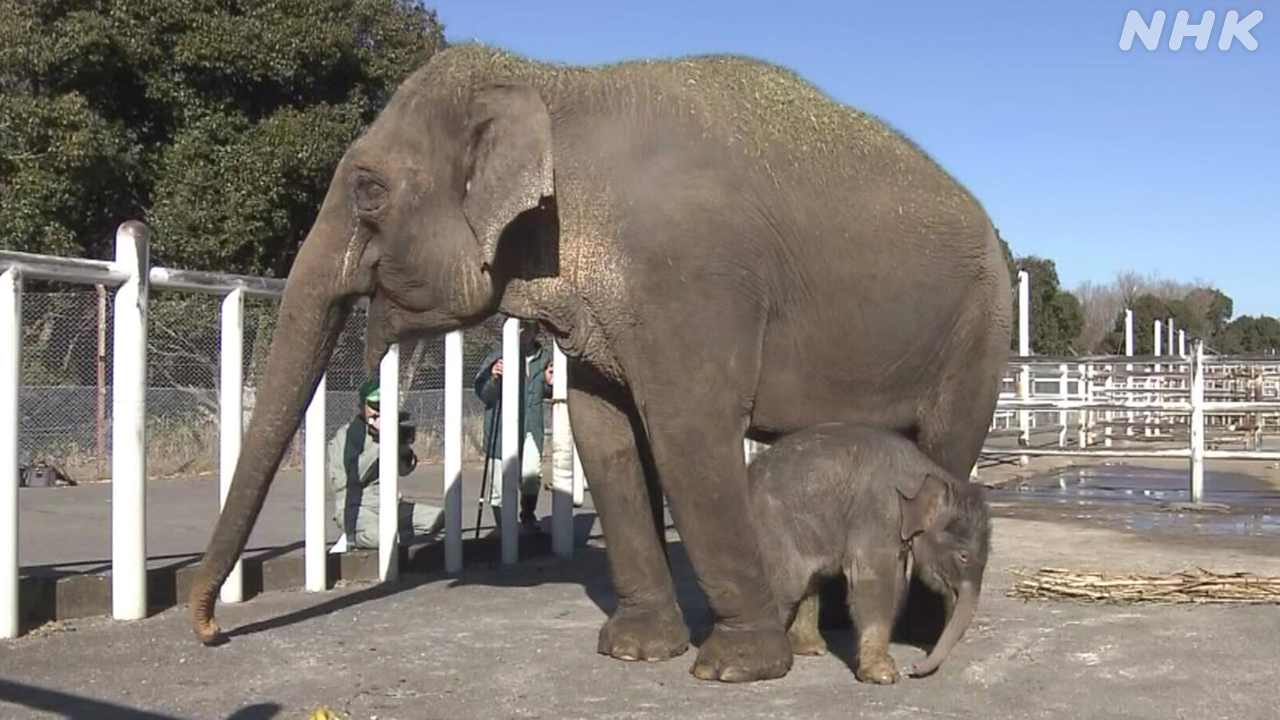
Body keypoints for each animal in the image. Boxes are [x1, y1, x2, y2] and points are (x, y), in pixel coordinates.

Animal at [745, 422, 992, 684]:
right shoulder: (877, 512)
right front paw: (883, 675)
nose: (915, 667)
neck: (928, 473)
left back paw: (811, 648)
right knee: (789, 585)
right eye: (963, 556)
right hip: (772, 530)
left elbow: (896, 583)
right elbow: (873, 581)